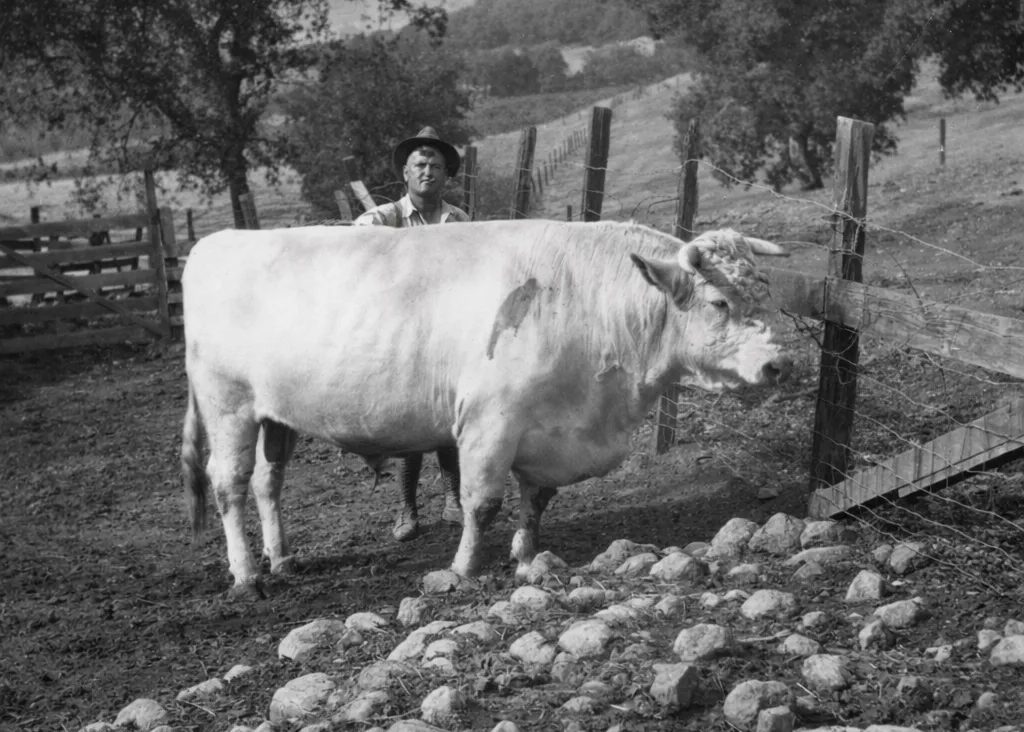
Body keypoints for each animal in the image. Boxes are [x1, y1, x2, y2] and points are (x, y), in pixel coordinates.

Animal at [181, 220, 792, 597]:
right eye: (719, 302)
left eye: (768, 292)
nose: (779, 364)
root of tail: (216, 244)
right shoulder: (490, 421)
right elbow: (481, 504)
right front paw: (464, 569)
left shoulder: (544, 431)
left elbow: (536, 501)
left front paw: (526, 558)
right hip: (227, 404)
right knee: (229, 484)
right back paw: (247, 575)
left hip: (274, 417)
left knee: (269, 482)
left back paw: (282, 557)